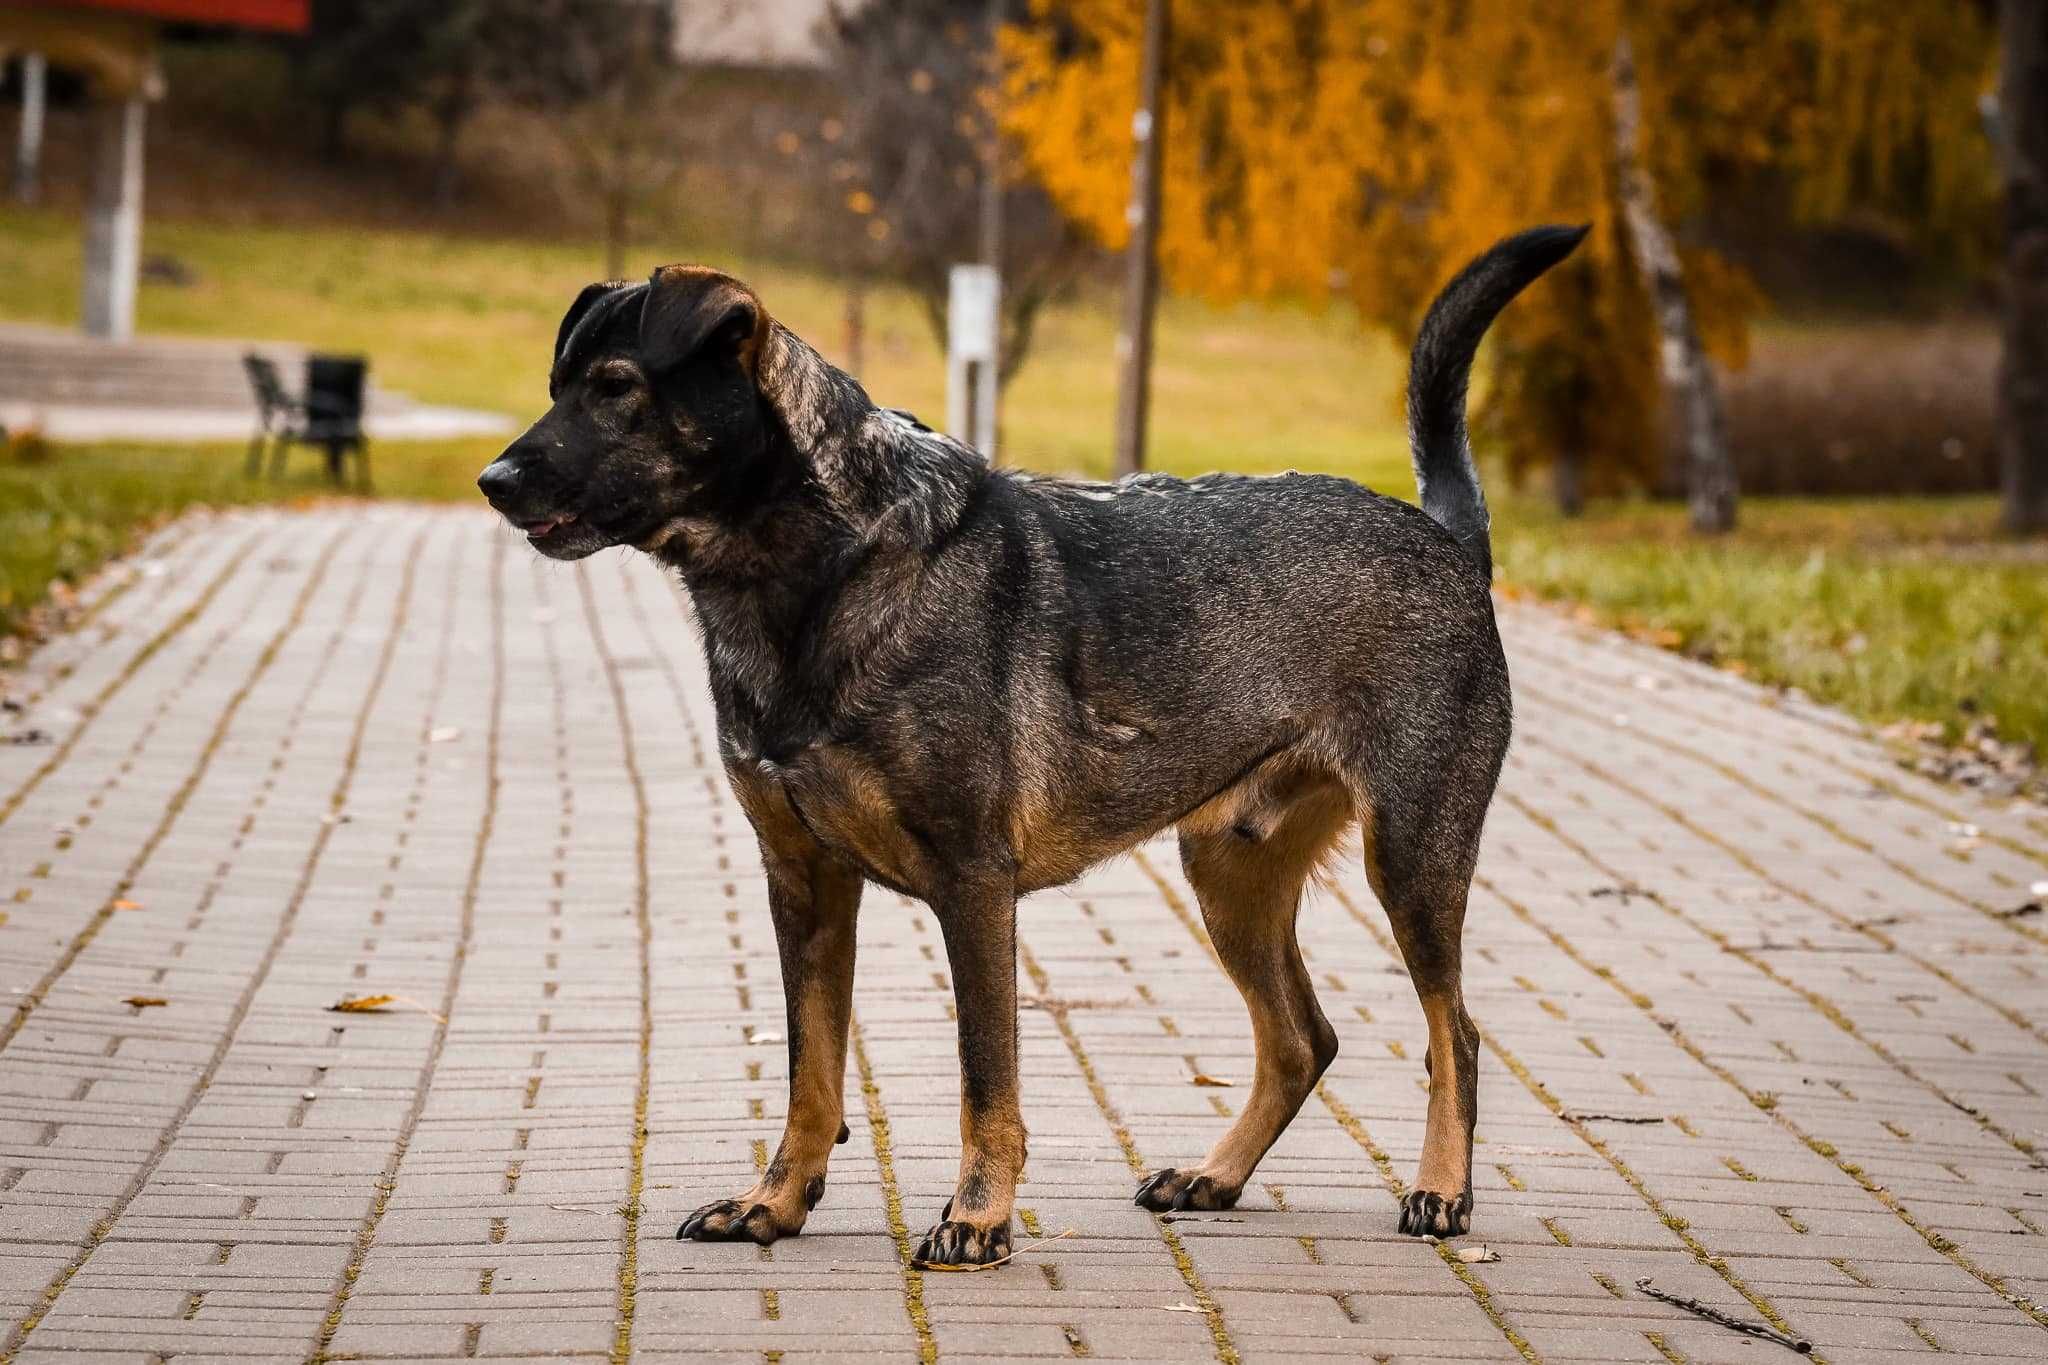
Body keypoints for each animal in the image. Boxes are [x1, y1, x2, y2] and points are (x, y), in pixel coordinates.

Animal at [475, 227, 1581, 1268]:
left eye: (617, 388)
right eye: (559, 386)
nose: (492, 479)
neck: (818, 566)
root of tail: (1448, 538)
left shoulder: (973, 884)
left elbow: (984, 1076)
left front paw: (977, 1217)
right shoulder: (803, 882)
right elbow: (809, 1072)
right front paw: (773, 1203)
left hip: (1412, 859)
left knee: (1453, 1033)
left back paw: (1440, 1189)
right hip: (1229, 874)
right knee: (1301, 1039)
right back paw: (1214, 1176)